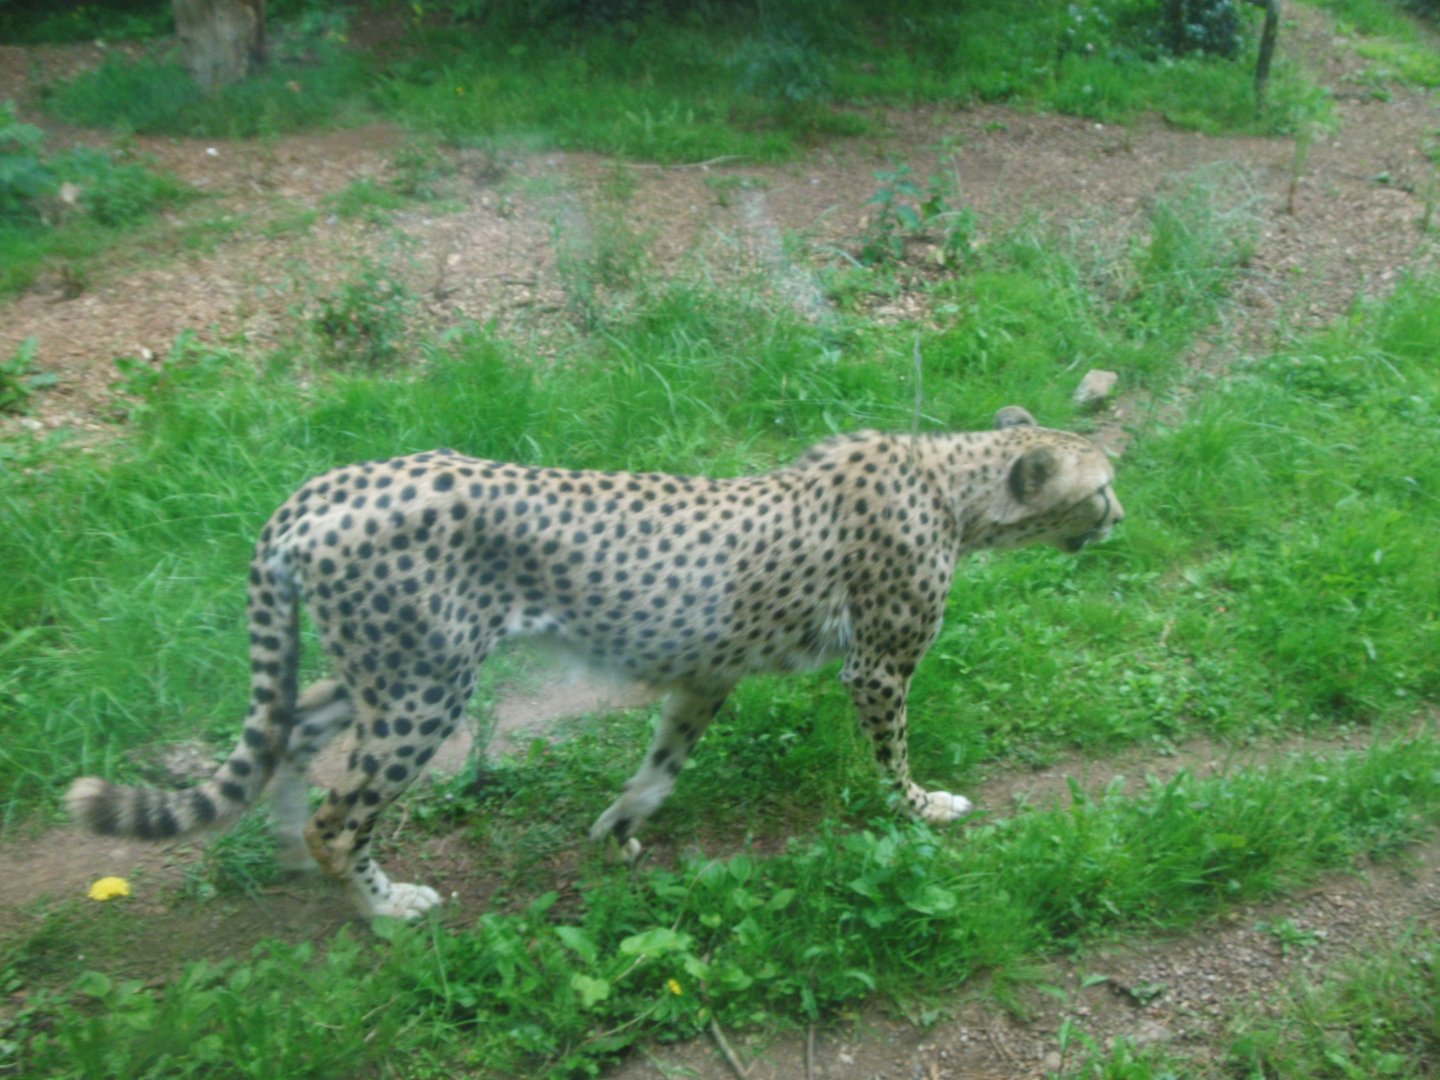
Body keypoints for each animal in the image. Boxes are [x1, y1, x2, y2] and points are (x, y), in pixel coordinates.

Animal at [67, 405, 1123, 920]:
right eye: (1102, 485)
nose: (1121, 515)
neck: (953, 483)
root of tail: (324, 485)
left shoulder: (706, 671)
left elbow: (663, 762)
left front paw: (619, 826)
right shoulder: (876, 669)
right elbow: (892, 754)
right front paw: (922, 809)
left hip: (386, 673)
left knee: (292, 733)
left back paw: (290, 847)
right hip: (425, 689)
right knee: (344, 813)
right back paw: (384, 906)